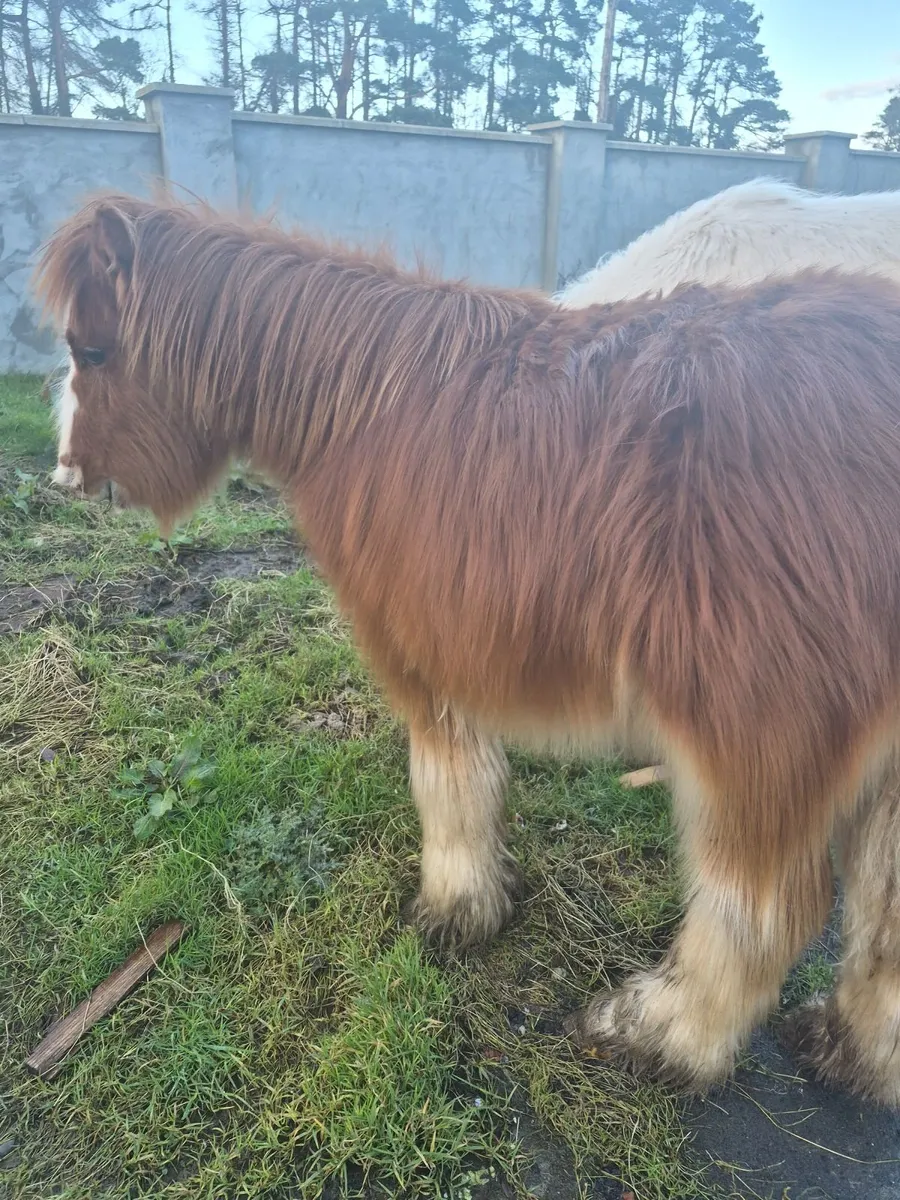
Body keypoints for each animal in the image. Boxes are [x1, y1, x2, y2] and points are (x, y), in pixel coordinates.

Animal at [36, 192, 900, 1104]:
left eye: (91, 350)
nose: (65, 475)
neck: (366, 405)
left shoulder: (421, 654)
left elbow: (450, 787)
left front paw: (454, 911)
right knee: (882, 905)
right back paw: (852, 1051)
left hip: (751, 727)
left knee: (764, 910)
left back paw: (656, 1036)